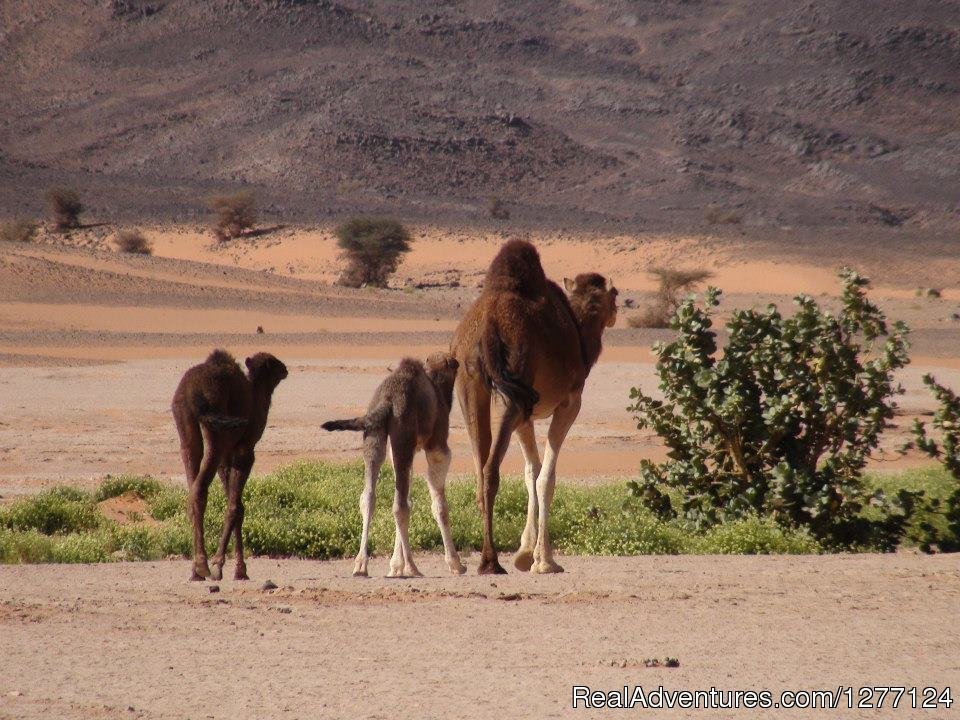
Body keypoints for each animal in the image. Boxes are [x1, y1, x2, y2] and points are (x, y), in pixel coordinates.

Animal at [171, 352, 286, 584]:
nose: (285, 369)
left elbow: (238, 506)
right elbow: (234, 507)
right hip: (213, 428)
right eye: (274, 362)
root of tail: (193, 393)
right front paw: (222, 566)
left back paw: (195, 571)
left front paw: (239, 570)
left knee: (192, 487)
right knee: (199, 490)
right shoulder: (244, 452)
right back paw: (203, 565)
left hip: (185, 428)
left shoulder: (226, 459)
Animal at [324, 354, 466, 580]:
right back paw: (412, 567)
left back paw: (361, 566)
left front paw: (395, 566)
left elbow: (406, 497)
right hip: (403, 435)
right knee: (399, 506)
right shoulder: (437, 445)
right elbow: (439, 505)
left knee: (369, 497)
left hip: (375, 436)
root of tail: (387, 401)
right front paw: (456, 564)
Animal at [448, 240, 616, 572]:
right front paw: (545, 561)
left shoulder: (527, 414)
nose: (616, 312)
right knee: (490, 470)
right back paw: (490, 562)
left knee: (480, 466)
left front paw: (526, 553)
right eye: (613, 296)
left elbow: (531, 472)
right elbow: (546, 478)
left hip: (470, 385)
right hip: (515, 383)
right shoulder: (569, 403)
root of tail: (488, 324)